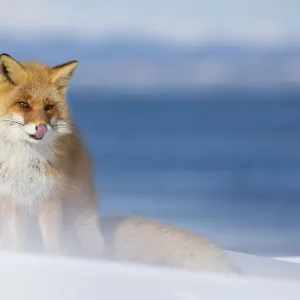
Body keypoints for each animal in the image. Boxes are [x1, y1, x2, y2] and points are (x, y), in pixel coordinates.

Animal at [0, 53, 104, 255]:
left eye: (48, 107)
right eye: (24, 105)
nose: (41, 127)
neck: (25, 162)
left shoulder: (50, 199)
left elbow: (52, 244)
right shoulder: (10, 199)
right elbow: (13, 243)